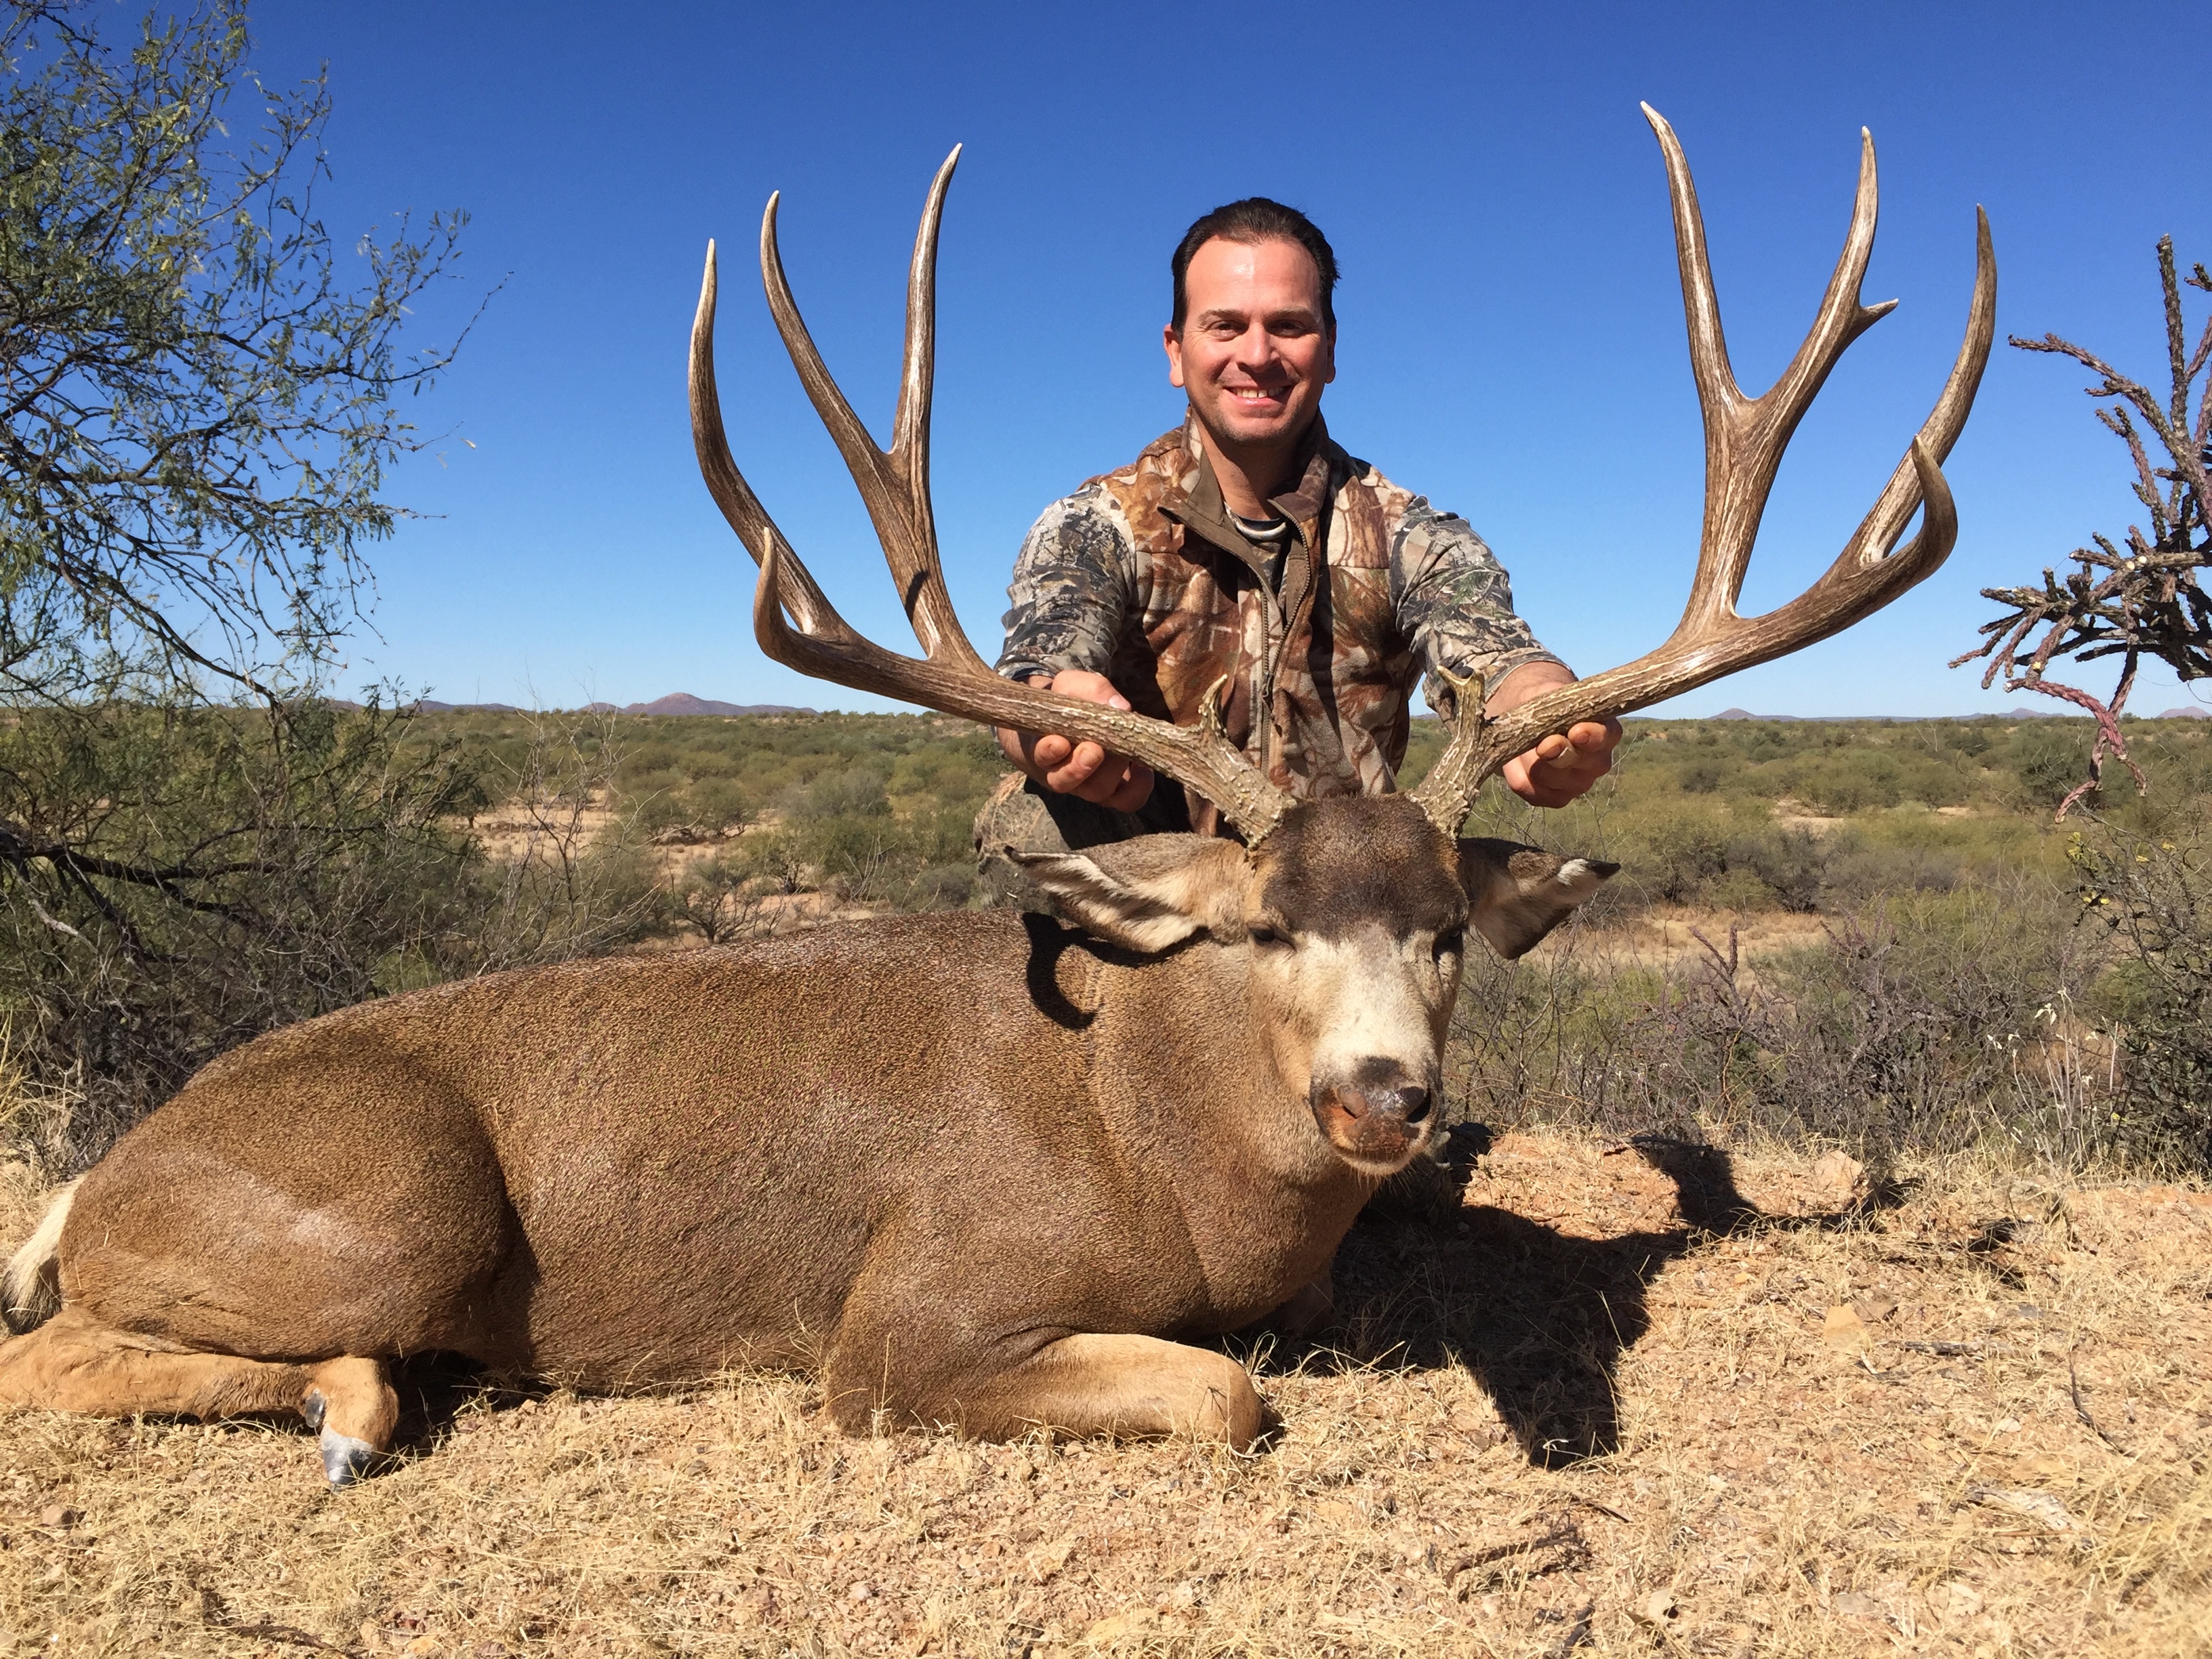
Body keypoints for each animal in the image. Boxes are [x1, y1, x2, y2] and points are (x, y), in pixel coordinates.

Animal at [0, 110, 1999, 1486]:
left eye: (1446, 929)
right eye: (1267, 927)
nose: (1383, 1097)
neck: (1162, 1140)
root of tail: (106, 1171)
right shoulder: (909, 1316)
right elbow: (1227, 1393)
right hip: (397, 1210)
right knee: (59, 1356)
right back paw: (351, 1410)